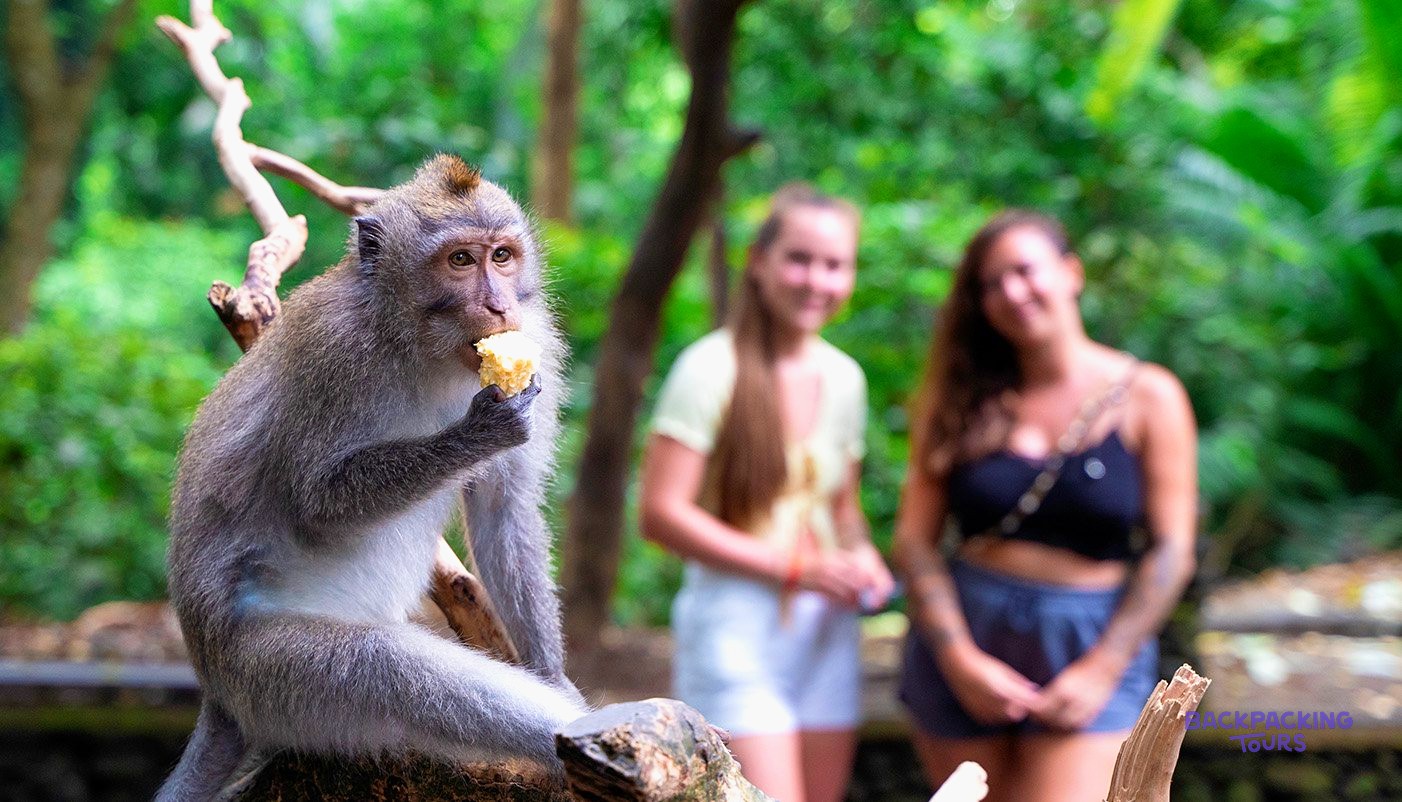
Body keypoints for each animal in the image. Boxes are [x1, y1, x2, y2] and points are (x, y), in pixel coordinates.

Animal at [155, 155, 587, 800]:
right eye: (461, 260)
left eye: (502, 256)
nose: (499, 306)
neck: (421, 346)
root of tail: (216, 694)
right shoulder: (333, 353)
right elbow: (315, 502)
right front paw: (476, 435)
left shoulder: (537, 342)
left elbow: (503, 508)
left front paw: (554, 675)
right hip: (265, 674)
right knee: (393, 673)